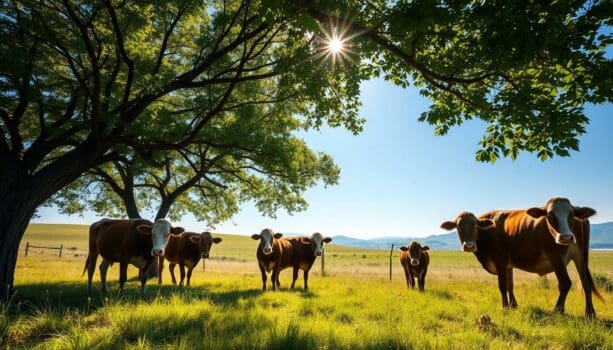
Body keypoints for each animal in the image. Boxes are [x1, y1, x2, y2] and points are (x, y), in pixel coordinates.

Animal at [440, 198, 604, 318]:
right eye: (459, 227)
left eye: (475, 226)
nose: (469, 246)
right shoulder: (508, 265)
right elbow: (510, 285)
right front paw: (513, 306)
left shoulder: (500, 261)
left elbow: (502, 285)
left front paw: (505, 307)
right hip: (580, 257)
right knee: (585, 282)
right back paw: (590, 313)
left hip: (557, 257)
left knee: (565, 282)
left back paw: (558, 310)